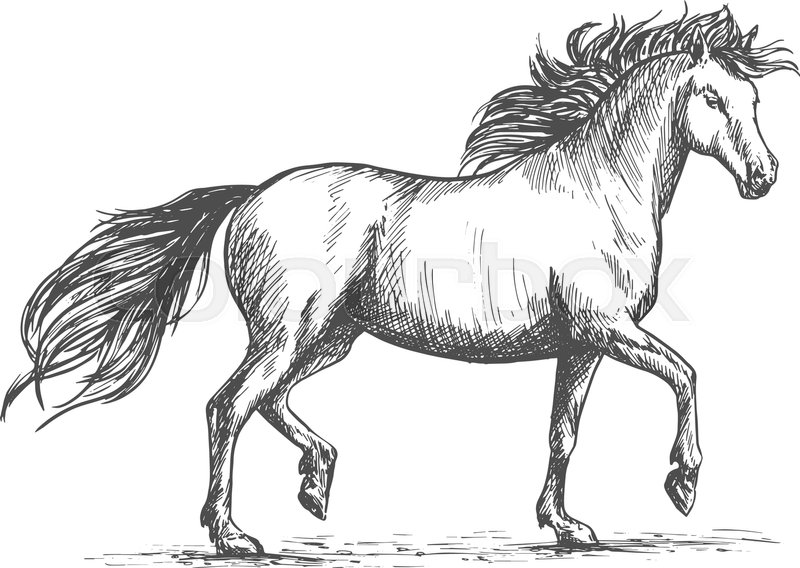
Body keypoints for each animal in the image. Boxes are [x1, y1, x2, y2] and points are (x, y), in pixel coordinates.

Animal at [2, 7, 795, 555]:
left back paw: (316, 482)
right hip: (288, 332)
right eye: (714, 101)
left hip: (329, 338)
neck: (593, 187)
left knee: (267, 401)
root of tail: (252, 194)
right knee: (228, 406)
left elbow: (563, 433)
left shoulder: (581, 345)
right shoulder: (609, 329)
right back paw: (232, 535)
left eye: (755, 102)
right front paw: (683, 484)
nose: (764, 177)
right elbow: (686, 373)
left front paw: (566, 525)